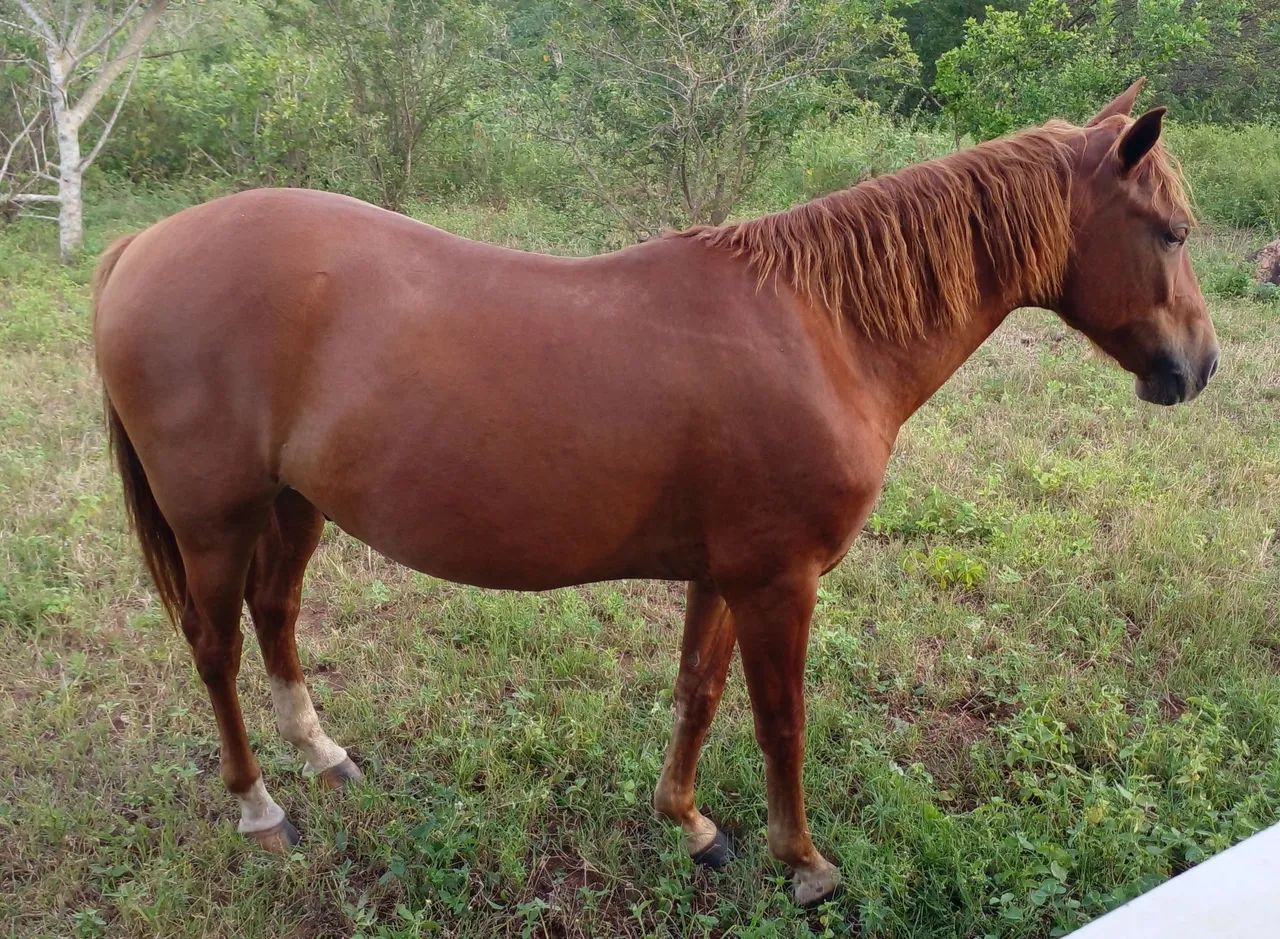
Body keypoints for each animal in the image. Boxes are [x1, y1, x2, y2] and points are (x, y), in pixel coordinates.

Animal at [93, 79, 1217, 906]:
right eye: (1169, 231)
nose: (1197, 368)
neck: (822, 331)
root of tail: (139, 245)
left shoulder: (722, 573)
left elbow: (697, 694)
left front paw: (693, 826)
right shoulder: (779, 581)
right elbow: (779, 720)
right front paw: (803, 864)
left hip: (295, 505)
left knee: (274, 615)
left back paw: (324, 757)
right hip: (214, 520)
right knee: (215, 647)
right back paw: (260, 809)